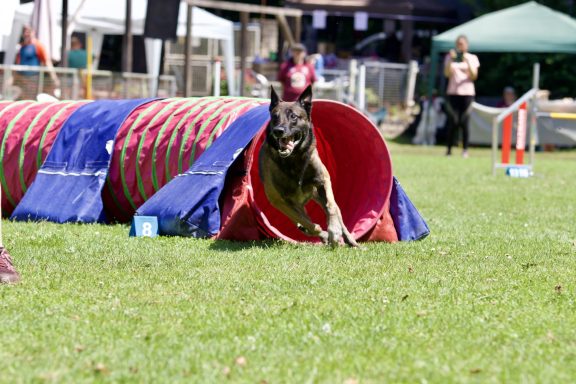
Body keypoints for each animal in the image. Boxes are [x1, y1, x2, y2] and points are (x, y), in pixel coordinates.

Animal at [258, 85, 358, 248]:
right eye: (275, 117)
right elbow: (310, 224)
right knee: (303, 221)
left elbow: (330, 207)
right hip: (295, 205)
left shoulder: (324, 180)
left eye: (293, 116)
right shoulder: (280, 201)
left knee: (336, 212)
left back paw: (352, 242)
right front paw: (324, 233)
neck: (294, 159)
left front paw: (334, 230)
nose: (278, 131)